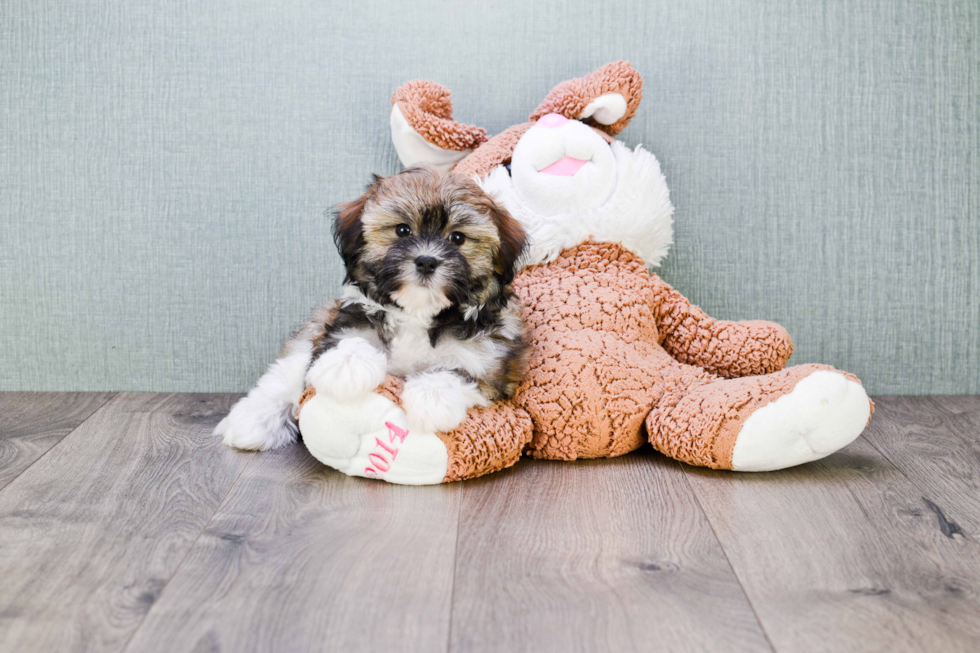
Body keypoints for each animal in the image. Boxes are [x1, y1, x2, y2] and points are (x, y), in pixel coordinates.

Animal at [215, 166, 528, 450]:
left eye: (458, 238)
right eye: (402, 230)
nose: (426, 260)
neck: (417, 312)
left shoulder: (491, 366)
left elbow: (459, 372)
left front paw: (432, 399)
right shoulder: (345, 320)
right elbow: (351, 339)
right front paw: (346, 367)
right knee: (284, 375)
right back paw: (253, 422)